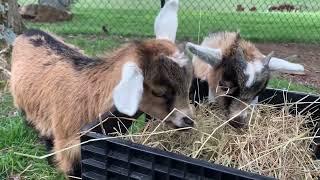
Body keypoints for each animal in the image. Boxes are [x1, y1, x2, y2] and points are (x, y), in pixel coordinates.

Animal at [10, 0, 195, 176]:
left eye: (188, 83)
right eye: (158, 92)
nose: (189, 121)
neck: (90, 95)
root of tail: (28, 31)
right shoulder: (67, 146)